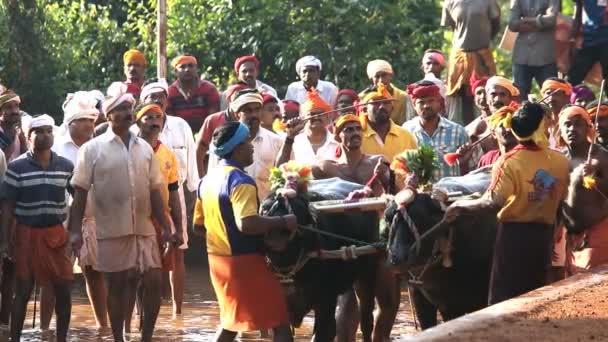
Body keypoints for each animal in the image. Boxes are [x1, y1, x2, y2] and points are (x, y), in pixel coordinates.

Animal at [262, 192, 380, 342]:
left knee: (366, 320)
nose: (277, 222)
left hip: (366, 279)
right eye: (264, 209)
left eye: (296, 209)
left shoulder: (325, 303)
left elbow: (322, 334)